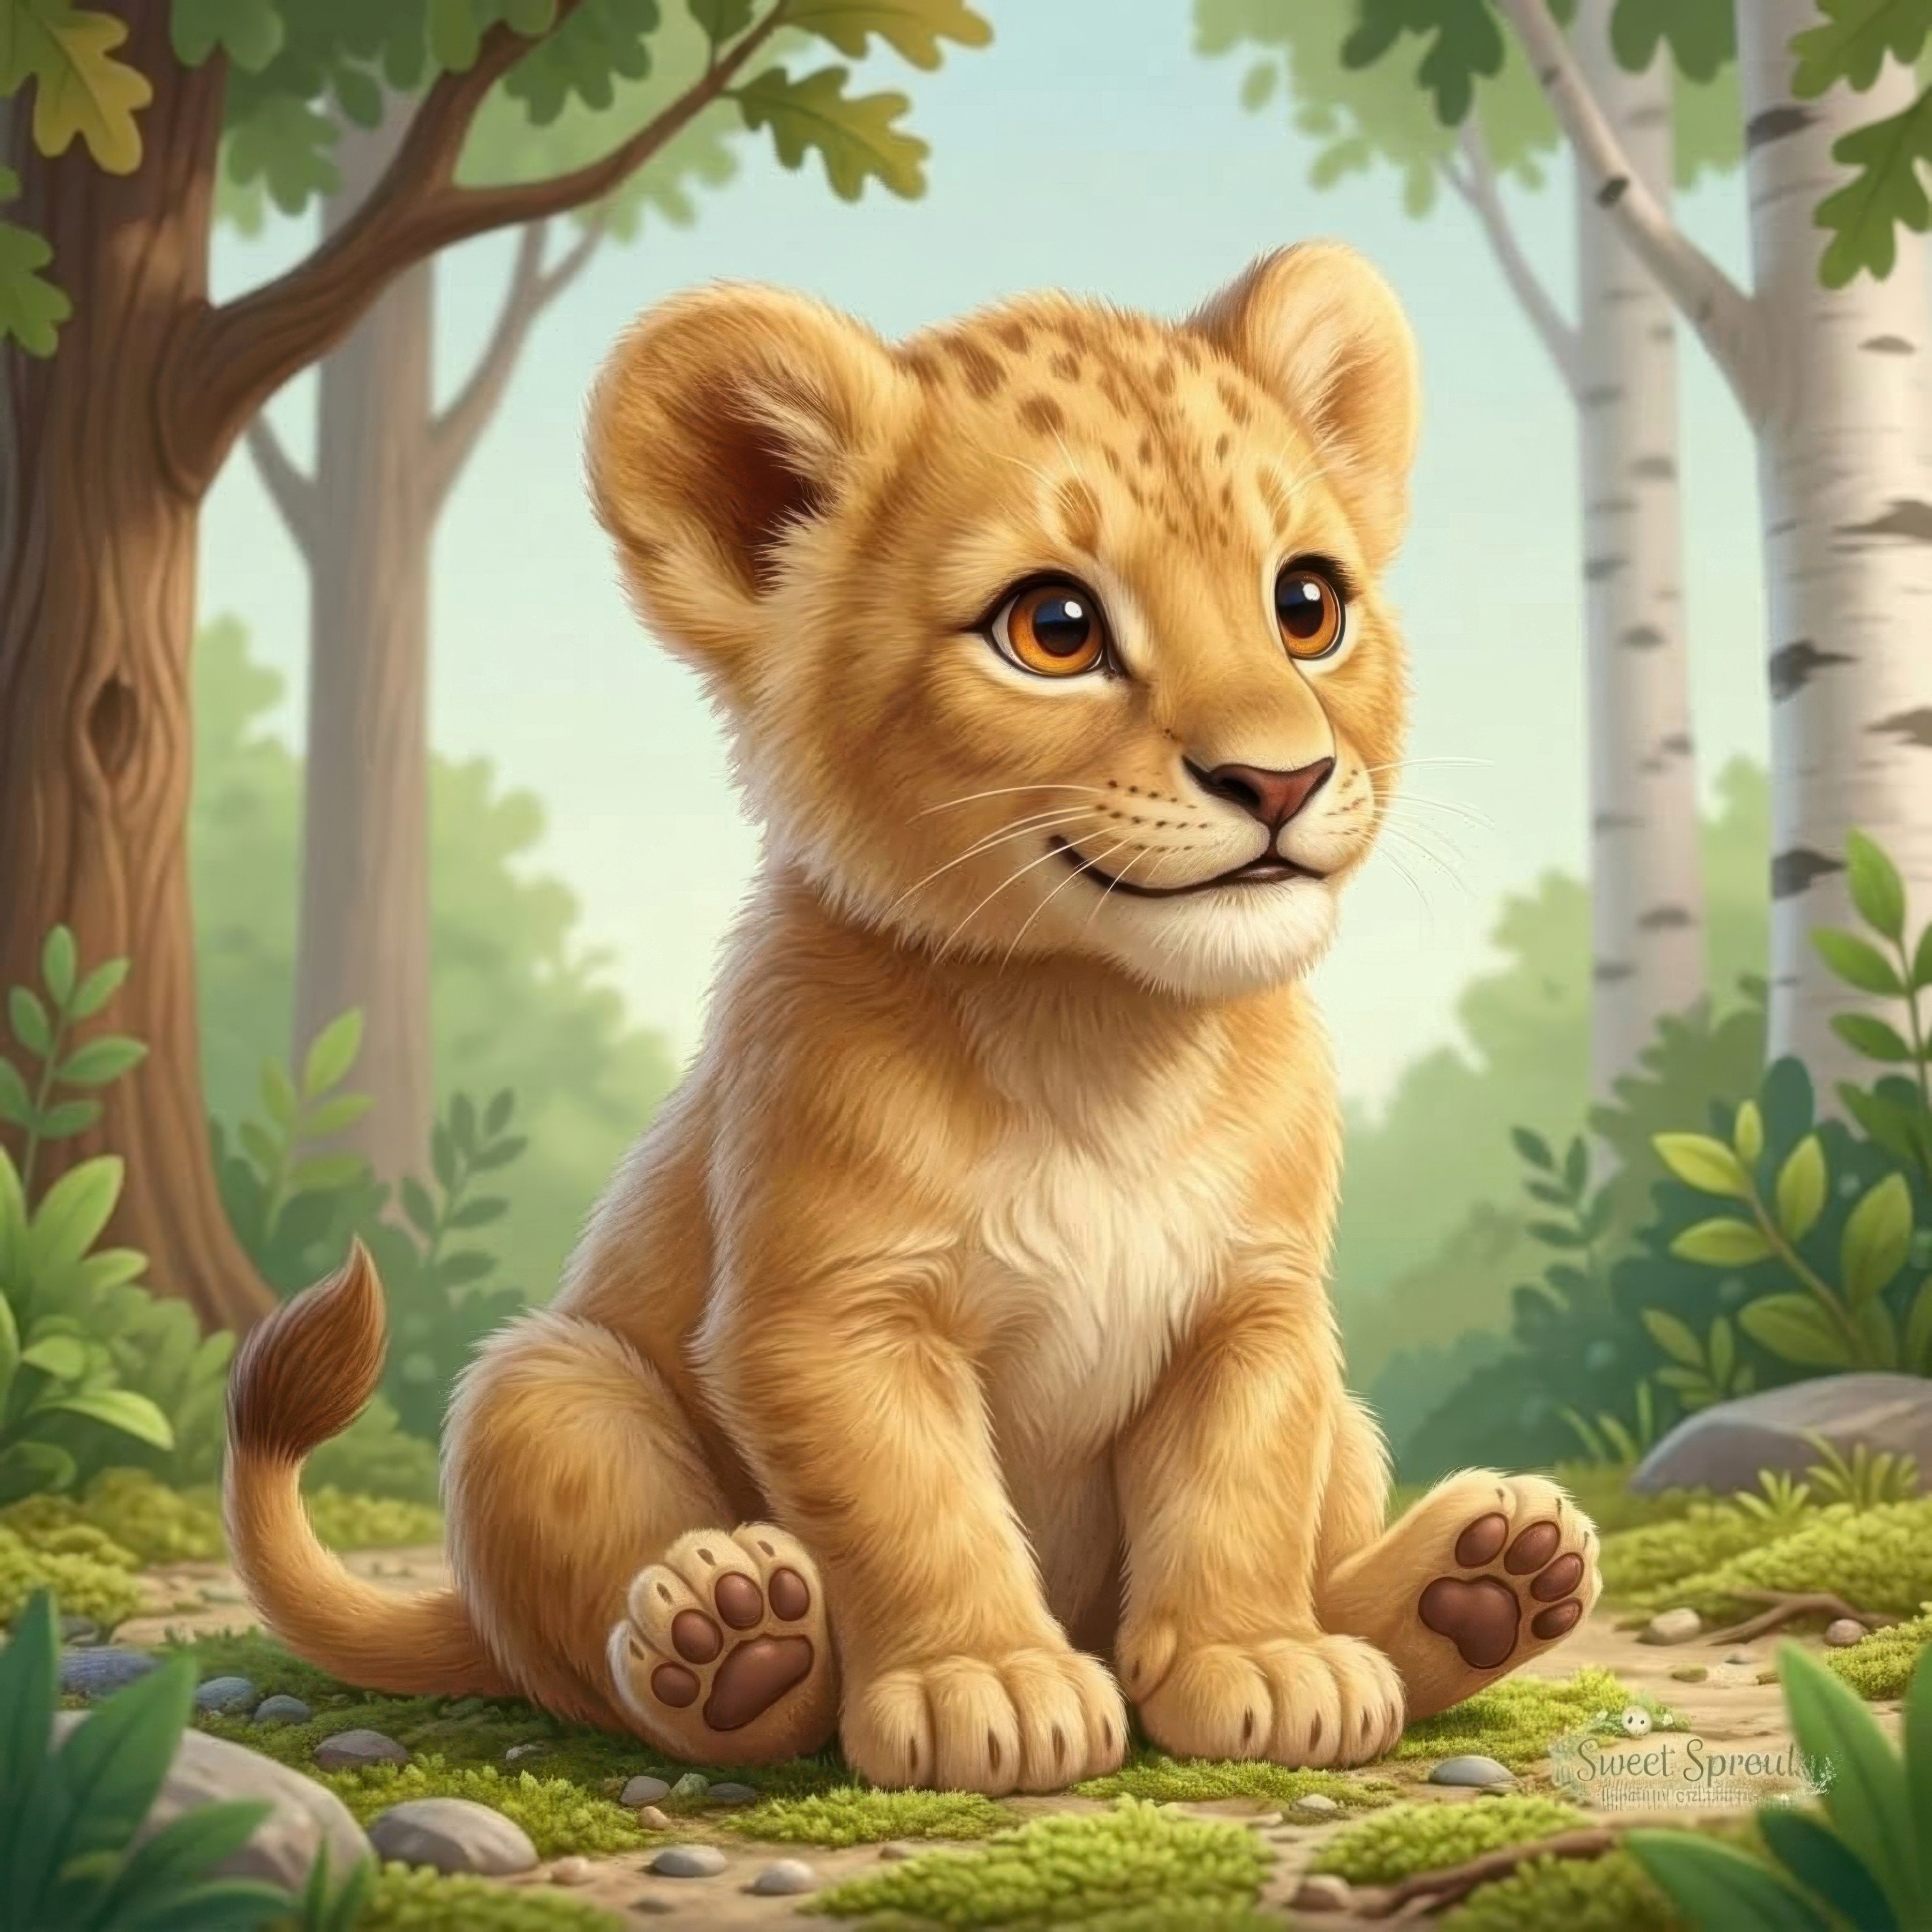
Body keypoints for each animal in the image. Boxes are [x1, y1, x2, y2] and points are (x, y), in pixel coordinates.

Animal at [224, 241, 1600, 1797]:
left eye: (1307, 604)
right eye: (1054, 629)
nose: (1280, 780)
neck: (1097, 1026)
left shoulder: (1255, 1311)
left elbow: (1238, 1487)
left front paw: (1260, 1659)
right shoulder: (832, 1319)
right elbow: (915, 1502)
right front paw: (981, 1686)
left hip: (1352, 1433)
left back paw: (1485, 1577)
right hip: (539, 1391)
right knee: (608, 1654)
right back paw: (731, 1639)